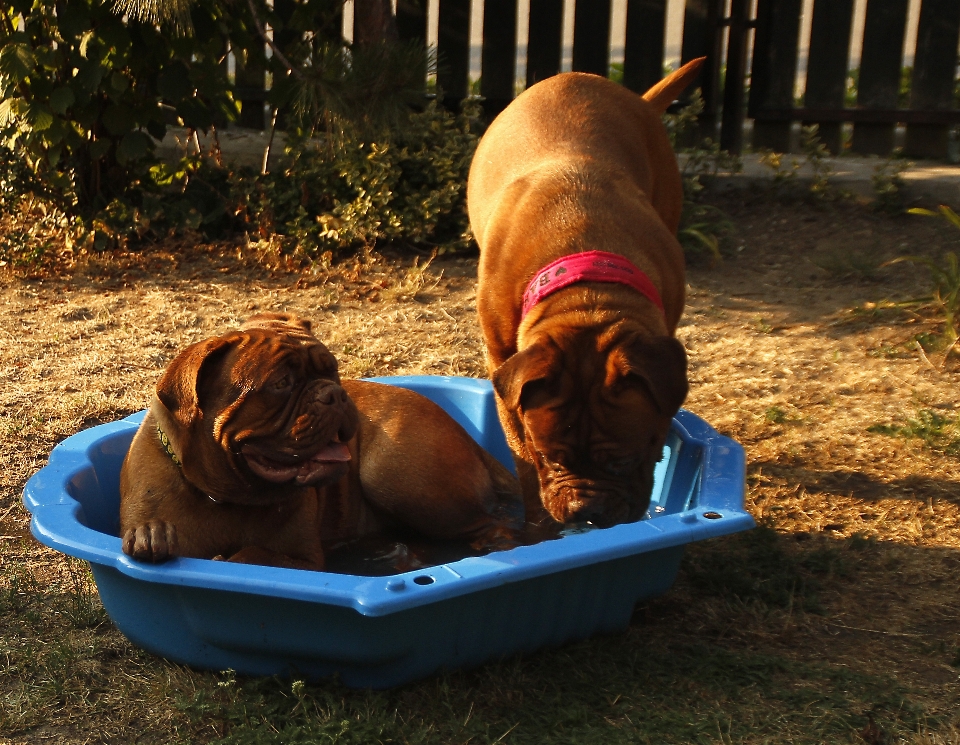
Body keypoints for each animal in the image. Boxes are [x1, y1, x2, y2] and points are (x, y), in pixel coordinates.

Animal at [123, 310, 524, 568]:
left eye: (332, 368)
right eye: (281, 384)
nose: (333, 393)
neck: (226, 499)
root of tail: (469, 439)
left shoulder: (304, 560)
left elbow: (254, 554)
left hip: (397, 477)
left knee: (488, 522)